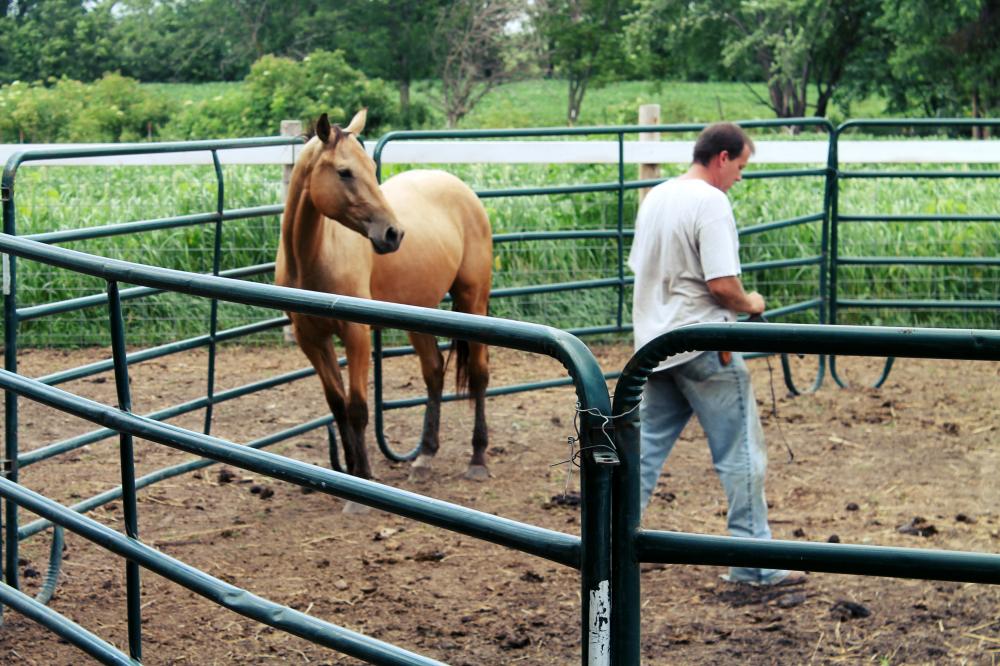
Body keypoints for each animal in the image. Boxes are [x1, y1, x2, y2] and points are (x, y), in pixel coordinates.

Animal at [274, 109, 492, 498]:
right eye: (344, 172)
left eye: (371, 169)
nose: (393, 234)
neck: (314, 256)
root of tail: (460, 188)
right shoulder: (311, 339)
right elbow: (337, 405)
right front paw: (348, 473)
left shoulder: (356, 333)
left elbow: (358, 408)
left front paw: (361, 480)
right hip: (420, 313)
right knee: (434, 371)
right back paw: (425, 457)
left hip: (473, 300)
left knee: (479, 374)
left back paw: (477, 459)